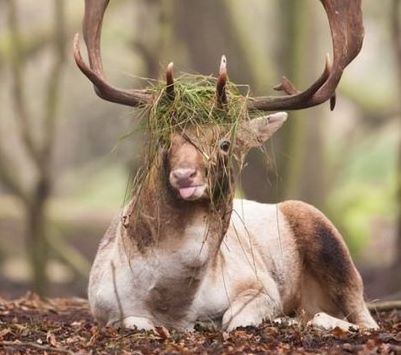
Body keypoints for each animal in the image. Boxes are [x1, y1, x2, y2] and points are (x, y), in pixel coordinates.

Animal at [72, 0, 378, 334]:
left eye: (225, 143)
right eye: (165, 139)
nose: (184, 176)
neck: (175, 306)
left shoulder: (260, 284)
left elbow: (236, 319)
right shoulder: (103, 303)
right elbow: (134, 321)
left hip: (328, 238)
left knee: (366, 318)